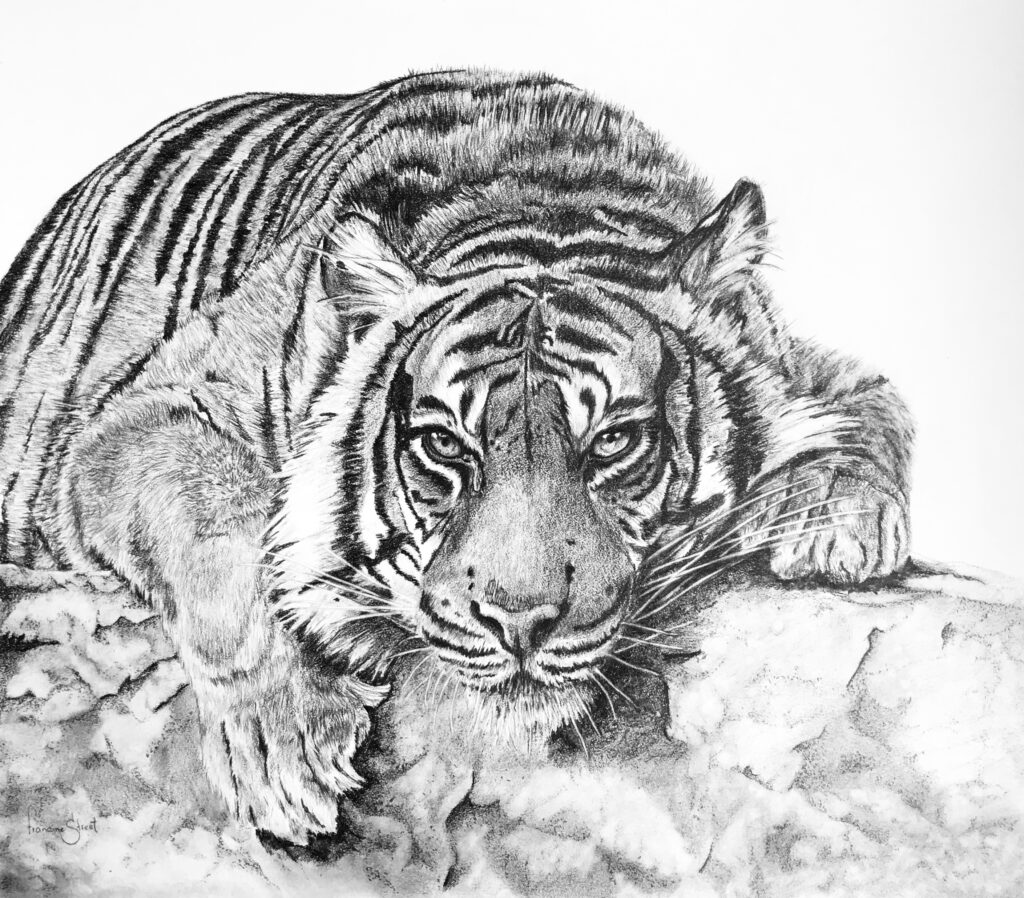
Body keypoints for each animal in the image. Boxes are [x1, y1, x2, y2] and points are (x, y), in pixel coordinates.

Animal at [0, 69, 912, 843]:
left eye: (613, 442)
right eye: (444, 444)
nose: (520, 622)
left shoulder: (793, 357)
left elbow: (876, 393)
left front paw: (840, 524)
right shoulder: (146, 413)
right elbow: (218, 530)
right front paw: (286, 743)